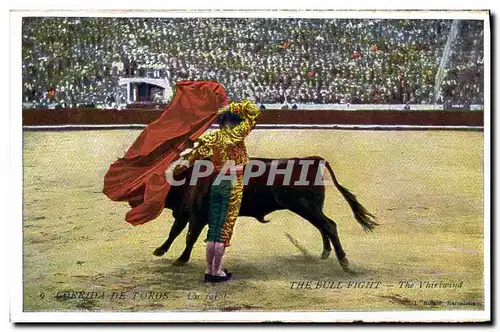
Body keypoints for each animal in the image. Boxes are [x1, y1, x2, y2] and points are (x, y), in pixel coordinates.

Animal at [152, 157, 378, 272]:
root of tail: (312, 160)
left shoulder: (198, 216)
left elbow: (189, 237)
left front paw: (181, 259)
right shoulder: (185, 213)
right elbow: (174, 232)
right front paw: (160, 250)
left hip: (304, 206)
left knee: (328, 225)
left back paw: (344, 262)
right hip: (312, 206)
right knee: (324, 226)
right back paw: (325, 253)